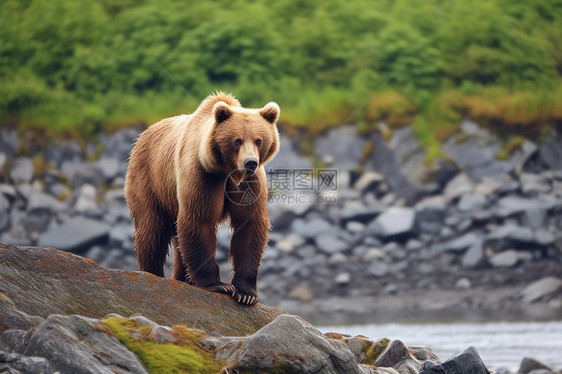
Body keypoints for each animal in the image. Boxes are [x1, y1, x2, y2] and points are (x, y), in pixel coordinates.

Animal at [124, 92, 278, 306]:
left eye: (258, 140)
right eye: (237, 140)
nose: (250, 163)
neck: (227, 170)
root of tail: (142, 134)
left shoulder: (249, 184)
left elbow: (249, 223)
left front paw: (245, 293)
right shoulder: (202, 175)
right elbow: (199, 219)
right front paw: (219, 285)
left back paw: (183, 278)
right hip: (149, 179)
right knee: (152, 230)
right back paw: (152, 273)